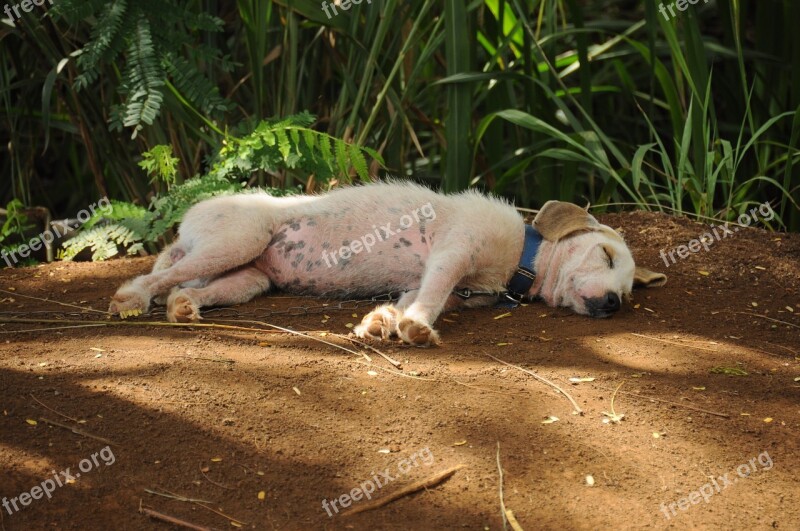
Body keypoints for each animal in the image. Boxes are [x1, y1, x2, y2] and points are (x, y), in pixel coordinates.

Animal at [109, 183, 664, 348]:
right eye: (606, 255)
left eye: (628, 293)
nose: (613, 304)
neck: (520, 260)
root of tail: (189, 220)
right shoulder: (453, 253)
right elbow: (433, 296)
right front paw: (416, 327)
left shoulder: (444, 283)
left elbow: (414, 298)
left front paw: (385, 322)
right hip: (238, 239)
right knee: (156, 276)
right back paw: (133, 298)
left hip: (248, 278)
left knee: (190, 289)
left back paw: (184, 308)